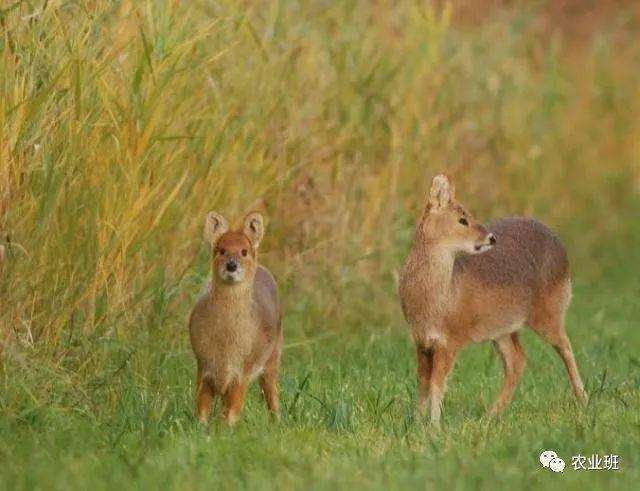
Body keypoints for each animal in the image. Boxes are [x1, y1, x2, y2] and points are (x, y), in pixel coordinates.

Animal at [188, 211, 282, 426]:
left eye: (244, 251)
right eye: (221, 250)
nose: (232, 265)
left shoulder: (242, 373)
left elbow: (231, 416)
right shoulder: (203, 367)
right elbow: (202, 414)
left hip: (273, 358)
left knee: (273, 397)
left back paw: (278, 423)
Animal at [398, 175, 588, 424]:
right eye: (462, 219)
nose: (491, 237)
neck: (440, 300)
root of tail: (560, 245)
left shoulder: (451, 340)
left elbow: (437, 386)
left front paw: (434, 426)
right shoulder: (422, 341)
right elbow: (423, 385)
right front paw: (416, 423)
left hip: (550, 311)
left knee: (565, 346)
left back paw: (583, 399)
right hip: (502, 328)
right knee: (518, 360)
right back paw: (491, 415)